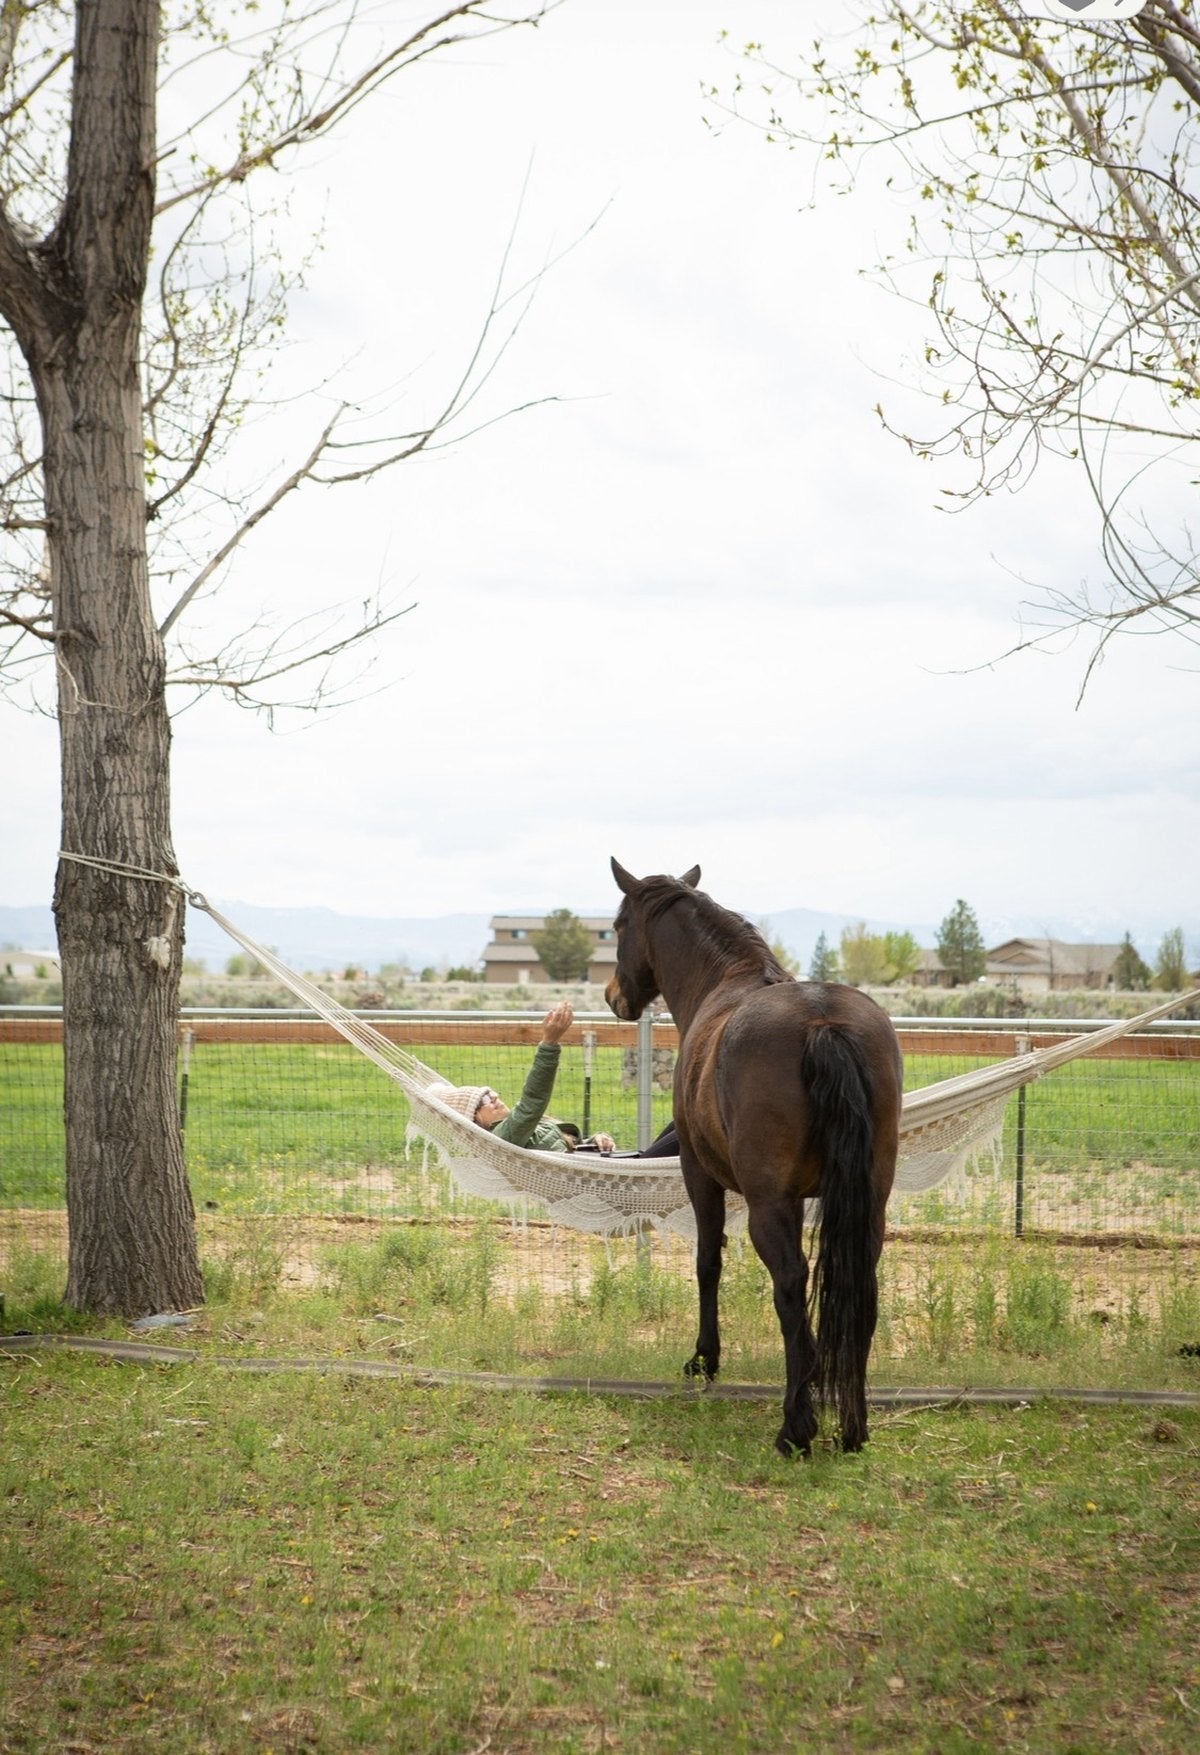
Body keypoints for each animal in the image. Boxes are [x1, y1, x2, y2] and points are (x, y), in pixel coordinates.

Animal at [605, 859, 903, 1457]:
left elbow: (707, 1262)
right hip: (869, 1206)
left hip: (769, 1205)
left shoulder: (698, 1175)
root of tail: (822, 1023)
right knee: (860, 1290)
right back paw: (852, 1427)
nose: (613, 995)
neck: (726, 981)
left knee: (789, 1285)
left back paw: (796, 1427)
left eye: (619, 925)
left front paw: (705, 1358)